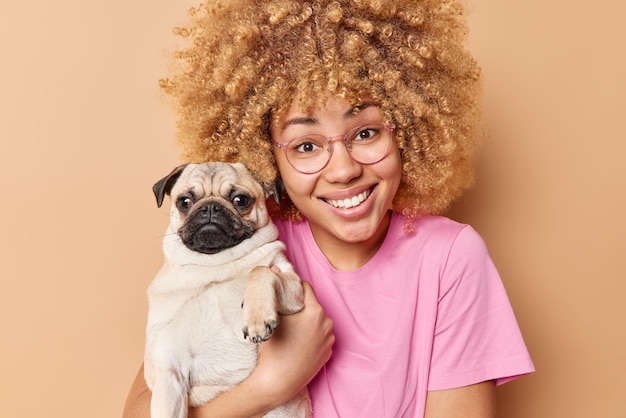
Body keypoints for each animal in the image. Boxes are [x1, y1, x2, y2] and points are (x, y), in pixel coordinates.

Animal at [141, 162, 308, 418]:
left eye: (240, 200)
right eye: (185, 201)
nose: (210, 207)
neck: (215, 264)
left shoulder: (292, 286)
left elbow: (260, 270)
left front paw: (257, 318)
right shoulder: (168, 369)